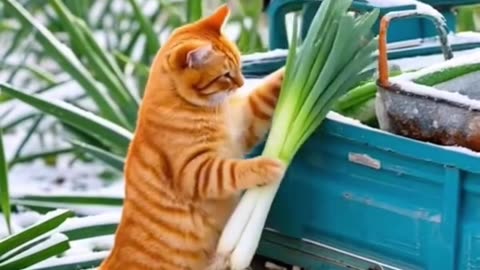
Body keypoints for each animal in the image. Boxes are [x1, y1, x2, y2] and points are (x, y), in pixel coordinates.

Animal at [98, 4, 284, 270]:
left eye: (239, 65)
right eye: (225, 75)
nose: (241, 83)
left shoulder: (244, 125)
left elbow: (269, 93)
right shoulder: (195, 171)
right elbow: (233, 170)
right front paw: (267, 166)